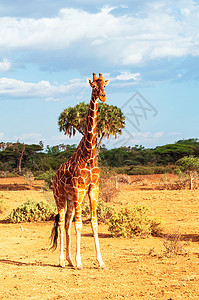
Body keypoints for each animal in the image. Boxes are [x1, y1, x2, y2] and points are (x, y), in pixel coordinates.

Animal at [51, 72, 109, 270]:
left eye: (105, 85)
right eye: (94, 86)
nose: (103, 96)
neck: (89, 154)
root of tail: (54, 177)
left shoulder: (93, 188)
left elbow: (94, 223)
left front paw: (101, 262)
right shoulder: (79, 189)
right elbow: (79, 224)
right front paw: (79, 262)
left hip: (70, 198)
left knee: (67, 223)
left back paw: (68, 260)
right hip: (60, 196)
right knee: (62, 223)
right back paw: (62, 261)